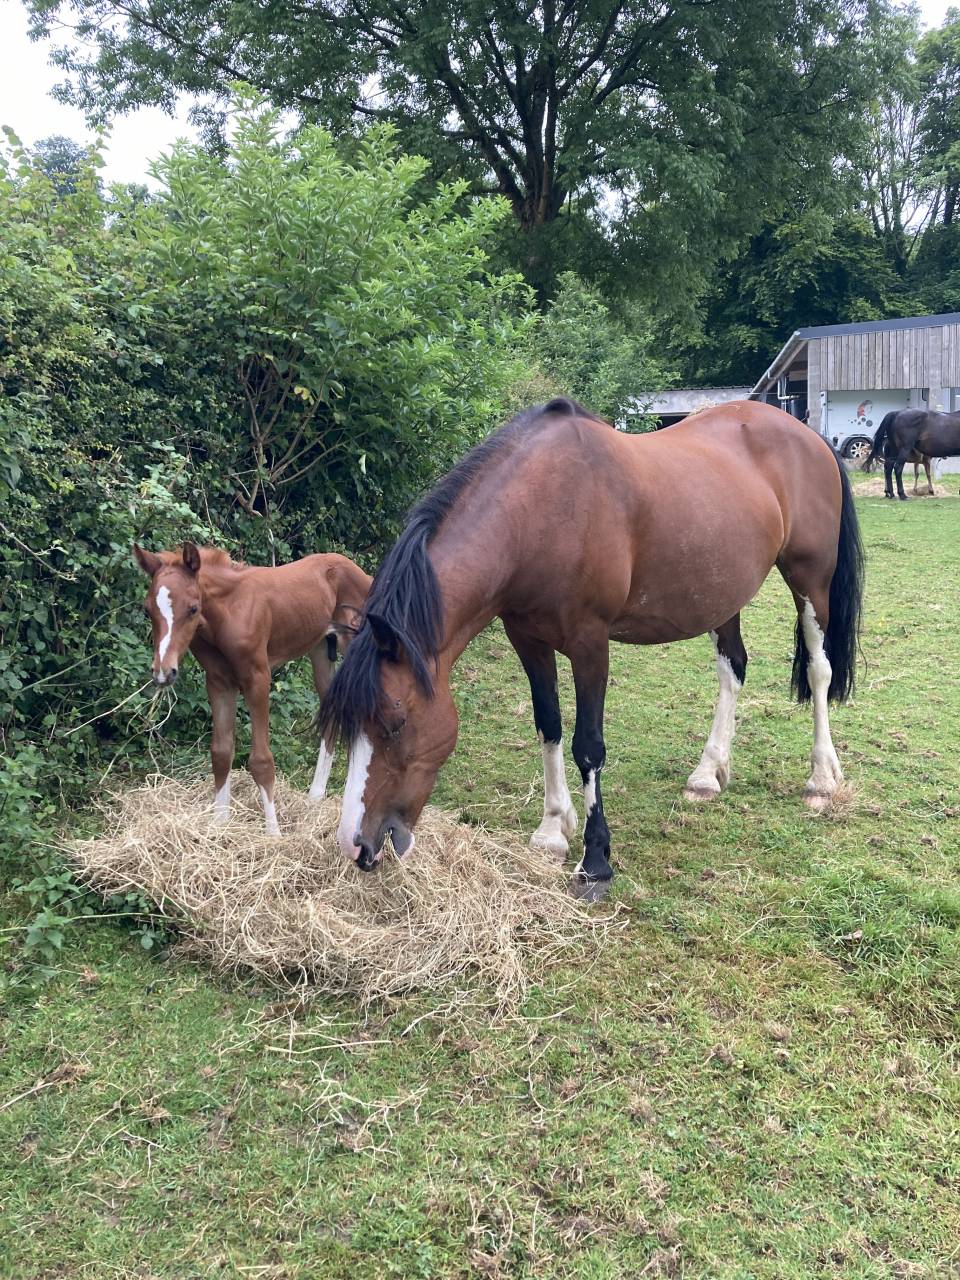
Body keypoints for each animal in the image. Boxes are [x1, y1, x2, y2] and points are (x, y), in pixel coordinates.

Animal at [134, 543, 371, 835]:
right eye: (147, 610)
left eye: (192, 608)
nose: (163, 672)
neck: (228, 612)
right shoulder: (218, 682)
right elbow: (221, 752)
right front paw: (220, 823)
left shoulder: (257, 678)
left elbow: (261, 760)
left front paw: (274, 834)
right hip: (320, 651)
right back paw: (315, 797)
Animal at [319, 398, 864, 883]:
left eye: (395, 723)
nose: (355, 846)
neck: (541, 513)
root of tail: (808, 434)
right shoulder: (528, 640)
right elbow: (549, 727)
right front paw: (551, 831)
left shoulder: (589, 643)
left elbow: (589, 745)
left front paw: (596, 858)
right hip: (722, 593)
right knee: (733, 668)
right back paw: (708, 774)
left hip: (810, 580)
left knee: (819, 670)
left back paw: (820, 779)